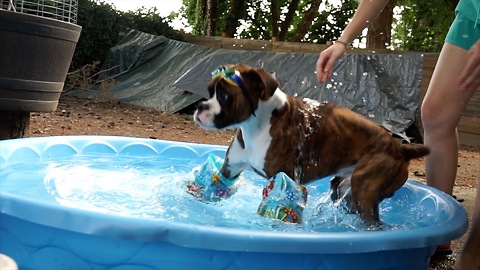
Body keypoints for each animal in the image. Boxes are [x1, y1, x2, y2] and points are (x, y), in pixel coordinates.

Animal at [193, 63, 430, 226]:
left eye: (225, 96)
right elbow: (214, 189)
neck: (255, 125)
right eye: (209, 92)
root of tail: (401, 148)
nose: (199, 106)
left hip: (365, 191)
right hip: (345, 189)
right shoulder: (229, 170)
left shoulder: (285, 177)